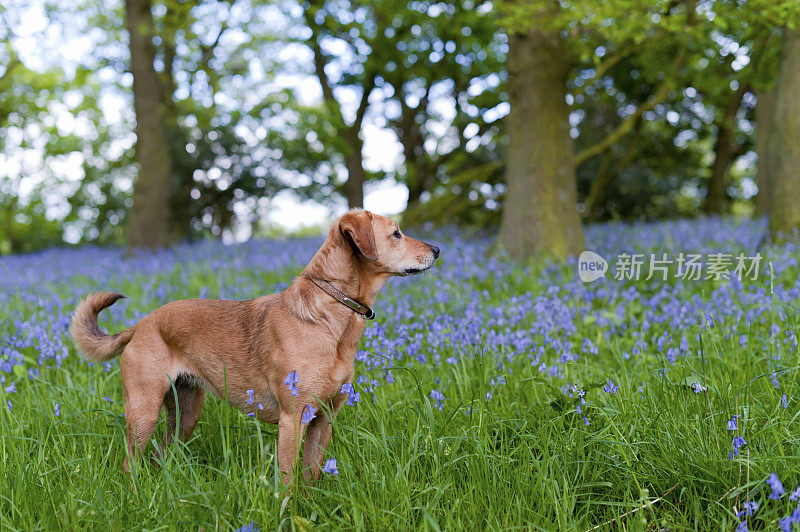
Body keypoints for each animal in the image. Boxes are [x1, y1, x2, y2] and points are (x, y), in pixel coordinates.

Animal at [69, 210, 440, 484]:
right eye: (396, 234)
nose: (438, 250)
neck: (331, 314)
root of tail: (141, 324)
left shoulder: (324, 420)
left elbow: (311, 477)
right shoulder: (293, 419)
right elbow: (288, 481)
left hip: (185, 415)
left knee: (161, 454)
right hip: (143, 412)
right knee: (130, 464)